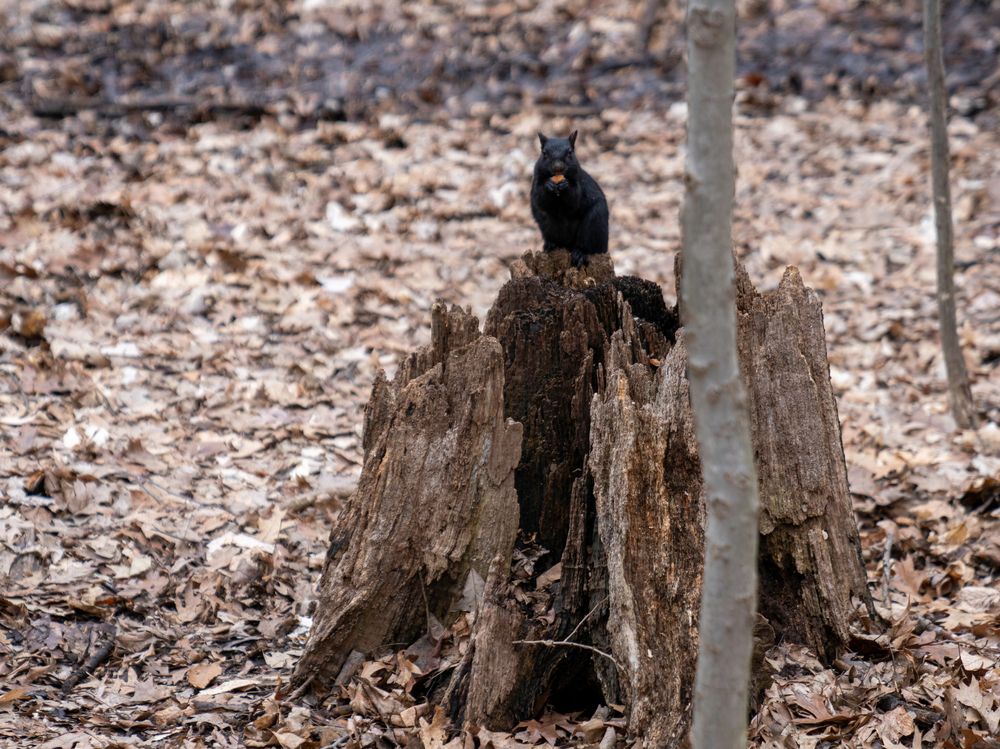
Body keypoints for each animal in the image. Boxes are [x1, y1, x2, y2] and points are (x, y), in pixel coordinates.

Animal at [530, 131, 609, 267]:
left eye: (570, 152)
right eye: (544, 153)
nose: (558, 167)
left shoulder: (579, 184)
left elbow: (574, 201)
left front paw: (565, 186)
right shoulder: (536, 181)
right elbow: (540, 200)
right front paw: (548, 185)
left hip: (595, 224)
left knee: (588, 245)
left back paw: (580, 253)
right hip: (547, 226)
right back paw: (551, 245)